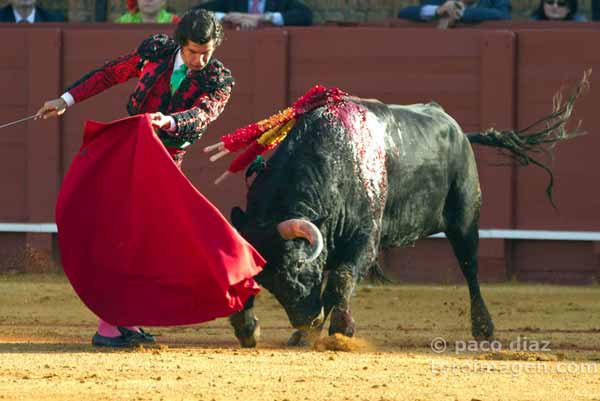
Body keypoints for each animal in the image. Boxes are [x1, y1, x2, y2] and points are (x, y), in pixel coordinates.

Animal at [225, 79, 584, 346]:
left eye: (299, 269)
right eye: (269, 282)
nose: (306, 320)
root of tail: (458, 130)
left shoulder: (365, 238)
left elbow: (341, 279)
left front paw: (341, 331)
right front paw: (252, 328)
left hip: (465, 218)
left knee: (470, 268)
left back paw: (484, 328)